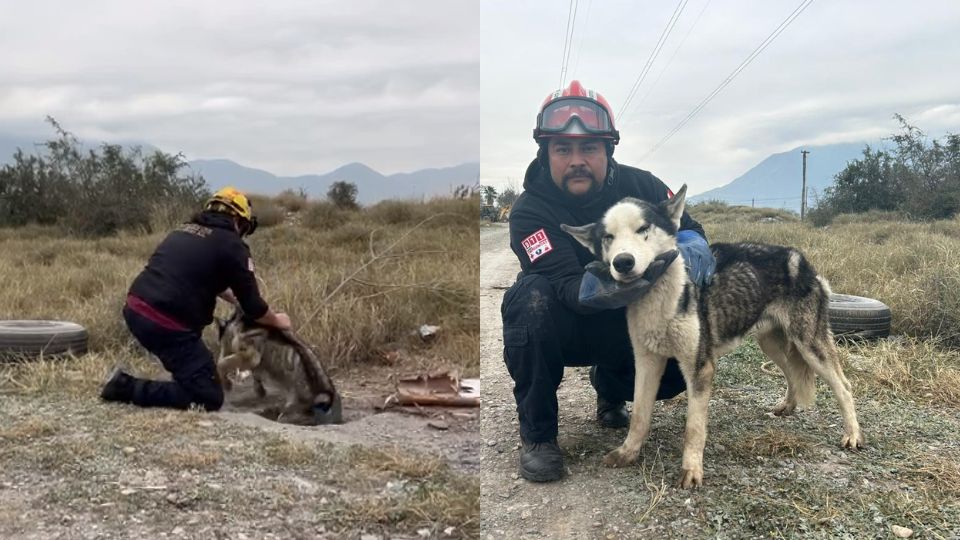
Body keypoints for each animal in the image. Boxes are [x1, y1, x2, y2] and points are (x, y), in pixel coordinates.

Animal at [216, 312, 344, 422]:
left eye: (221, 343)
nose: (220, 351)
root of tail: (325, 393)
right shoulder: (256, 361)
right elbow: (255, 375)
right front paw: (259, 390)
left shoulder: (251, 356)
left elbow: (222, 364)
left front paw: (226, 382)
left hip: (292, 408)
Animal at [560, 186, 868, 490]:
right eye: (608, 237)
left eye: (643, 228)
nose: (623, 262)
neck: (662, 297)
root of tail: (800, 259)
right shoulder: (647, 363)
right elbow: (639, 417)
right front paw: (628, 452)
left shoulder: (700, 368)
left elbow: (694, 428)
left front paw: (692, 470)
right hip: (771, 344)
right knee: (792, 372)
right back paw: (788, 405)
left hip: (809, 344)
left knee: (843, 386)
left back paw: (853, 435)